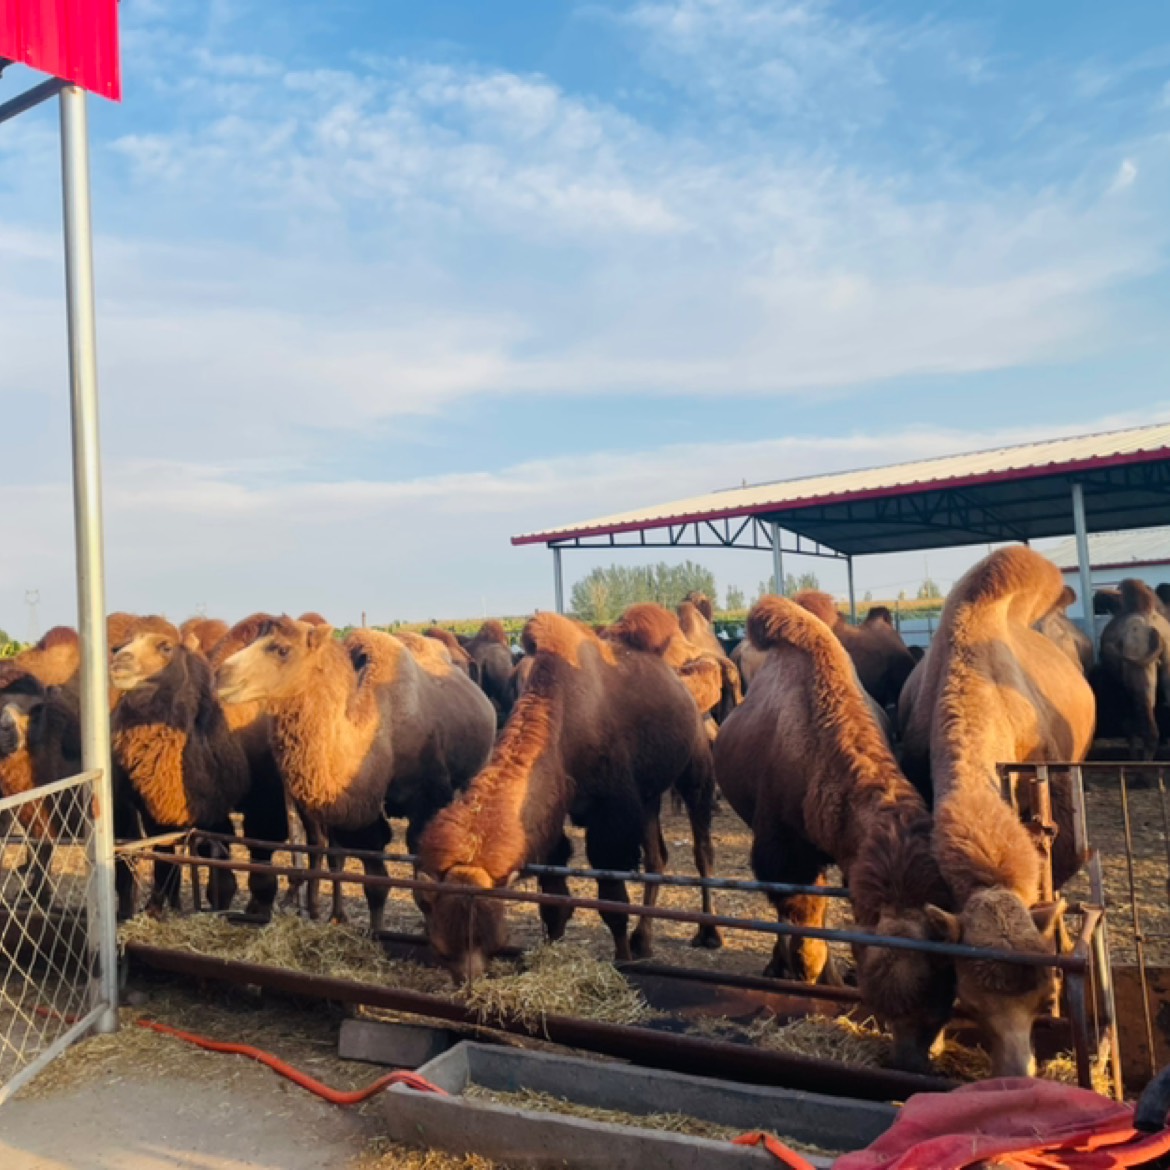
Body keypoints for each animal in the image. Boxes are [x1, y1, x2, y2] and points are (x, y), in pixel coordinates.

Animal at [217, 613, 496, 931]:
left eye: (282, 649)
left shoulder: (427, 799)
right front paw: (370, 929)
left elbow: (421, 884)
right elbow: (372, 882)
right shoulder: (358, 811)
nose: (221, 675)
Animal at [416, 608, 716, 982]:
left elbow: (612, 902)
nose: (468, 982)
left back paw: (707, 934)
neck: (563, 718)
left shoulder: (610, 816)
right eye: (440, 948)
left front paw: (622, 961)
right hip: (648, 796)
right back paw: (644, 941)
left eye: (495, 942)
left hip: (696, 769)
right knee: (656, 858)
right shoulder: (551, 822)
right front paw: (550, 953)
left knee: (702, 850)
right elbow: (554, 903)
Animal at [711, 599, 950, 1071]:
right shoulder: (783, 854)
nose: (913, 1060)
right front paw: (805, 983)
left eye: (945, 990)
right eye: (886, 1005)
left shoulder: (845, 858)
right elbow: (805, 930)